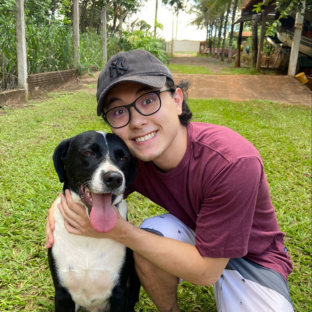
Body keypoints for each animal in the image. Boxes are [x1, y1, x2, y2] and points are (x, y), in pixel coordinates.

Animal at [48, 130, 140, 312]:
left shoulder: (119, 292)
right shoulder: (62, 293)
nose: (114, 178)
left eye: (123, 158)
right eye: (89, 152)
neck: (89, 237)